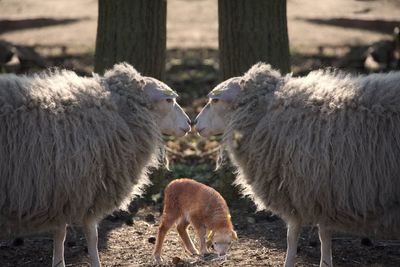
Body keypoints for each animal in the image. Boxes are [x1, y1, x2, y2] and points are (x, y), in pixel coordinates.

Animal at [0, 63, 191, 267]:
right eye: (168, 100)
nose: (189, 123)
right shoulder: (86, 189)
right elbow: (92, 236)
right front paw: (94, 262)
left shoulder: (61, 190)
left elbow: (60, 233)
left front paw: (58, 262)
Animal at [195, 62, 400, 266]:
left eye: (215, 100)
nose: (195, 123)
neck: (264, 113)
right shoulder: (323, 190)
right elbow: (324, 233)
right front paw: (326, 262)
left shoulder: (298, 190)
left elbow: (293, 235)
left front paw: (291, 262)